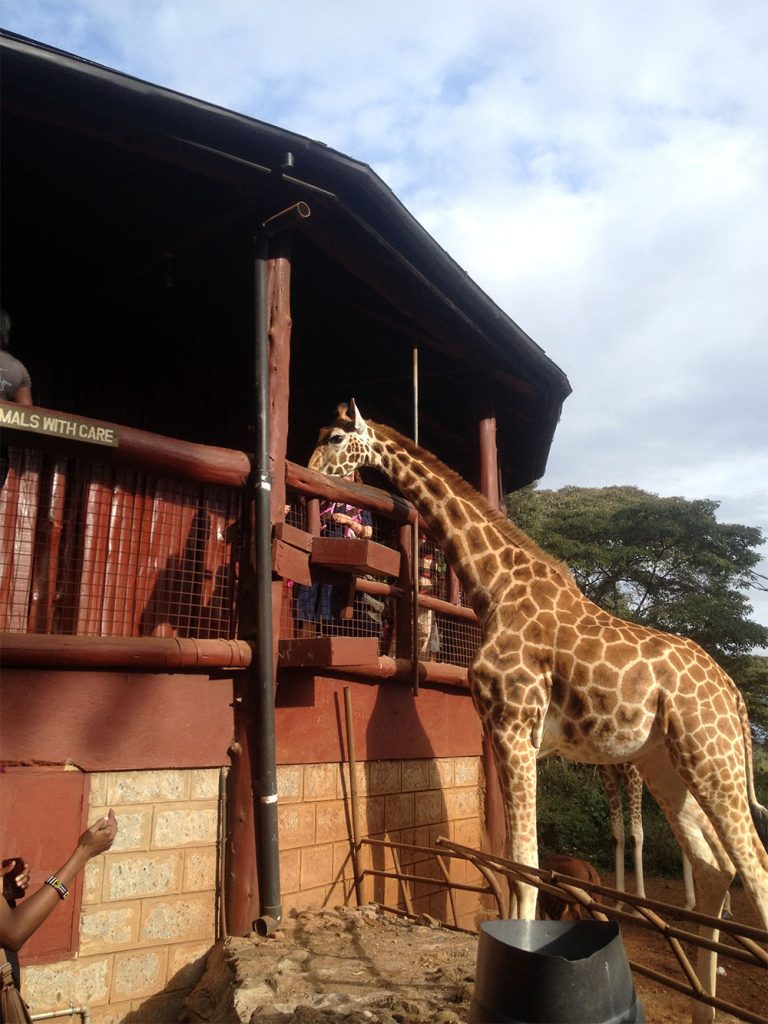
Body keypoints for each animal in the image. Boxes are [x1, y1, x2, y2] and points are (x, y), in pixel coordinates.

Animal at [309, 401, 768, 1023]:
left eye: (335, 437)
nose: (310, 474)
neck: (494, 587)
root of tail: (735, 695)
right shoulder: (510, 735)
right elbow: (512, 861)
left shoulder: (514, 725)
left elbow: (524, 864)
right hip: (664, 764)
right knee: (716, 868)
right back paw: (705, 1009)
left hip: (710, 757)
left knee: (755, 872)